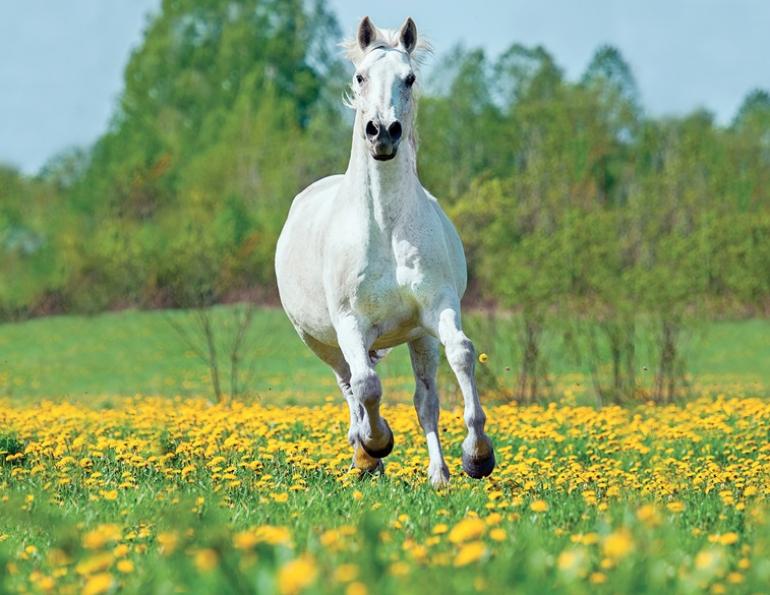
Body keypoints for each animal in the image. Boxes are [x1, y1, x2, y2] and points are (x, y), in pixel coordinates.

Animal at [275, 16, 495, 487]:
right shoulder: (350, 323)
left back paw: (438, 475)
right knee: (350, 385)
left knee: (425, 400)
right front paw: (377, 444)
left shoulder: (437, 309)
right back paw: (364, 456)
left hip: (416, 337)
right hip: (320, 340)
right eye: (360, 77)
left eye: (408, 78)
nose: (383, 132)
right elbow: (367, 386)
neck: (386, 227)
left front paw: (477, 455)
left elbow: (462, 354)